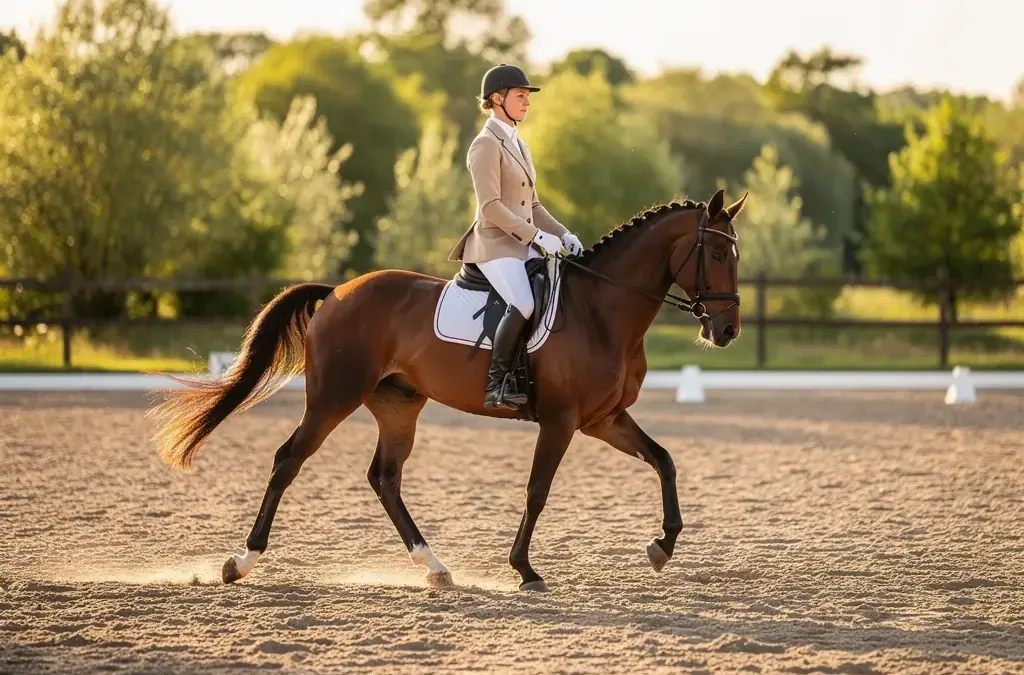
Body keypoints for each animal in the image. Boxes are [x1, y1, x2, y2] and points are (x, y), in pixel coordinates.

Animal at [149, 188, 746, 592]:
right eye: (717, 255)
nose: (726, 332)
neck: (601, 311)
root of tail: (338, 291)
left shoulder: (603, 419)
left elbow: (664, 460)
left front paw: (662, 547)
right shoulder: (561, 420)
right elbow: (538, 490)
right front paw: (525, 570)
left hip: (398, 406)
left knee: (384, 478)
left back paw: (434, 567)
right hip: (332, 398)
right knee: (288, 460)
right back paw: (240, 562)